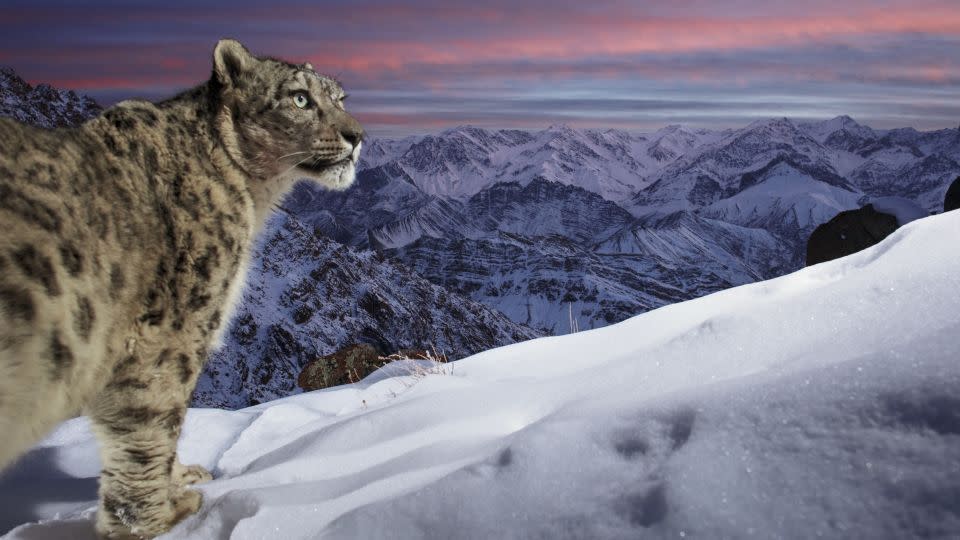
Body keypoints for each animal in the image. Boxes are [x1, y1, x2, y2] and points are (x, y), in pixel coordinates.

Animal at [0, 40, 364, 536]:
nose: (357, 135)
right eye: (300, 98)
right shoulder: (170, 333)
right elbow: (153, 422)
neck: (254, 198)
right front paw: (158, 519)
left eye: (340, 98)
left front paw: (181, 478)